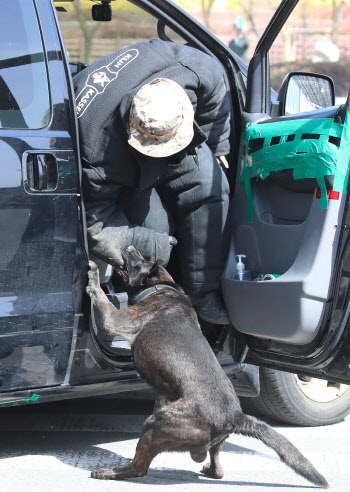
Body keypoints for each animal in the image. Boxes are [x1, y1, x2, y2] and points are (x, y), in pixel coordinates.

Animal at [85, 246, 328, 488]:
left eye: (139, 263)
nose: (129, 247)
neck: (161, 288)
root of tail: (235, 418)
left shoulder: (115, 320)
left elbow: (101, 298)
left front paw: (93, 275)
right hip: (202, 439)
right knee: (217, 466)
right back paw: (210, 469)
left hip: (155, 425)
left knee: (139, 468)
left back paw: (111, 471)